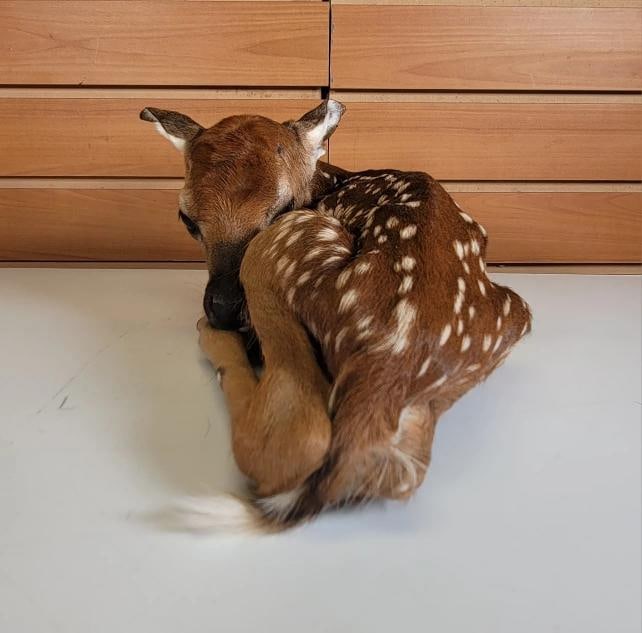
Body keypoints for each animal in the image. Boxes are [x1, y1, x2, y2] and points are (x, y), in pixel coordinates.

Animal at [140, 100, 532, 533]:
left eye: (282, 205)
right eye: (187, 219)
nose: (222, 308)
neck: (326, 181)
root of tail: (391, 360)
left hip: (287, 241)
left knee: (298, 437)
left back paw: (214, 340)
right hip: (512, 317)